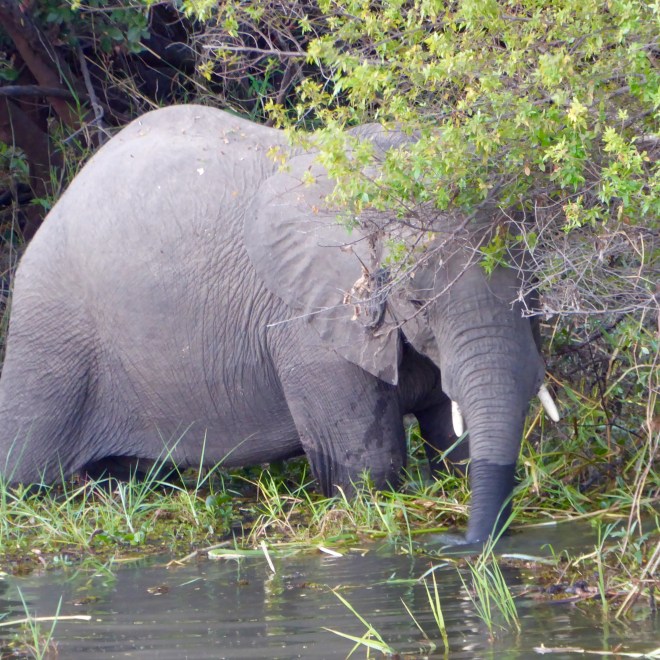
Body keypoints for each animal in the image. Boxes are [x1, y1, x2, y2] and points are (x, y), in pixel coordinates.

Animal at [0, 105, 559, 543]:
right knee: (23, 473)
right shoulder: (307, 324)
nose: (466, 543)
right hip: (50, 340)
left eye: (533, 289)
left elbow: (452, 440)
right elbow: (365, 469)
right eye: (418, 300)